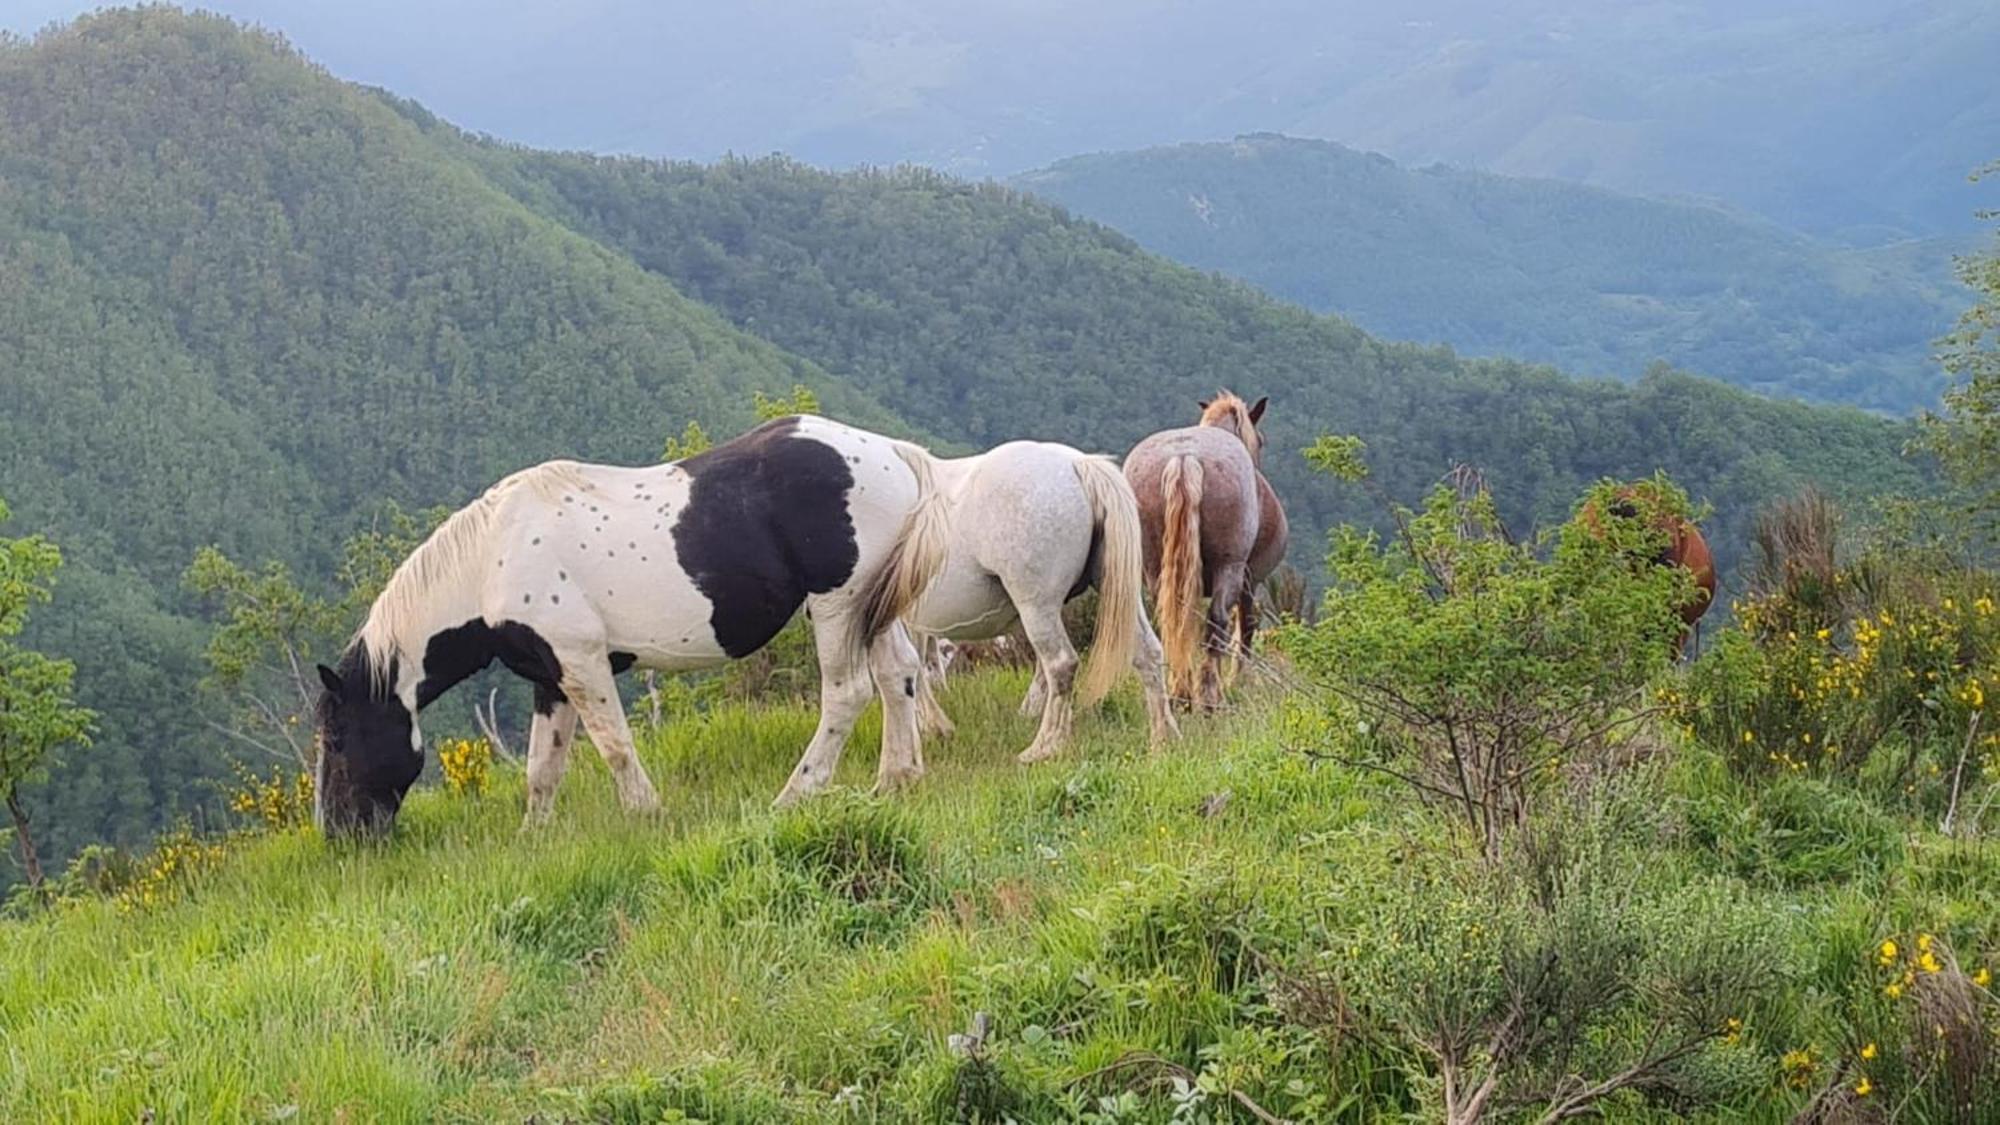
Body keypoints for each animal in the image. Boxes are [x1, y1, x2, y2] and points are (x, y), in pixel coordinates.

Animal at [314, 414, 952, 832]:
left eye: (338, 736)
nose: (339, 831)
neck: (494, 557)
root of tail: (894, 453)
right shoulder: (552, 679)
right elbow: (542, 767)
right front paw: (534, 835)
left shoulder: (583, 663)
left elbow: (614, 745)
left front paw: (646, 812)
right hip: (872, 609)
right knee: (899, 676)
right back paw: (897, 778)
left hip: (838, 605)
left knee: (848, 693)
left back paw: (796, 794)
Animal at [904, 438, 1168, 760]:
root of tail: (1078, 464)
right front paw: (929, 726)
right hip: (1113, 592)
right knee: (1148, 654)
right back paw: (1162, 740)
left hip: (1037, 609)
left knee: (1061, 665)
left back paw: (1044, 747)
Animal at [1120, 394, 1288, 704]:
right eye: (1261, 440)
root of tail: (1184, 458)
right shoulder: (1250, 581)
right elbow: (1245, 628)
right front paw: (1236, 682)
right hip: (1229, 569)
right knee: (1217, 623)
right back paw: (1210, 698)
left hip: (1155, 570)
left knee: (1173, 621)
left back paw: (1180, 693)